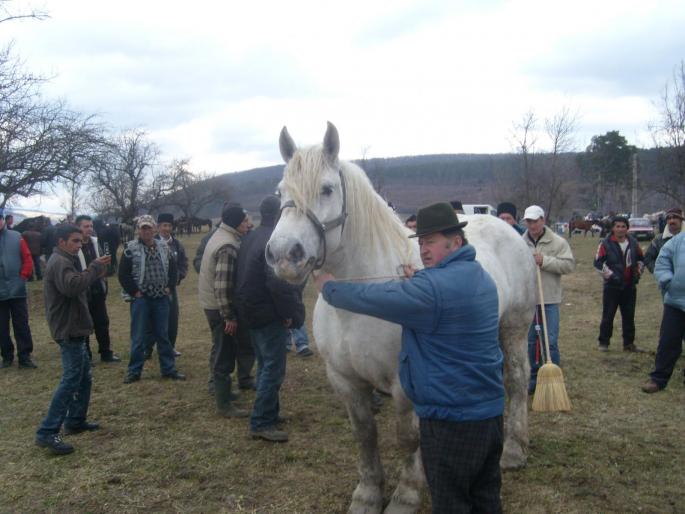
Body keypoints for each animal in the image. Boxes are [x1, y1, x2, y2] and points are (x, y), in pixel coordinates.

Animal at [264, 122, 536, 510]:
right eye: (280, 192)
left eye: (327, 189)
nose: (284, 254)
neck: (362, 298)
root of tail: (506, 228)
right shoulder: (345, 381)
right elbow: (364, 434)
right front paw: (367, 494)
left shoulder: (403, 383)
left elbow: (407, 437)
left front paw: (405, 495)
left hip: (514, 328)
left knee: (516, 379)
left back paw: (513, 451)